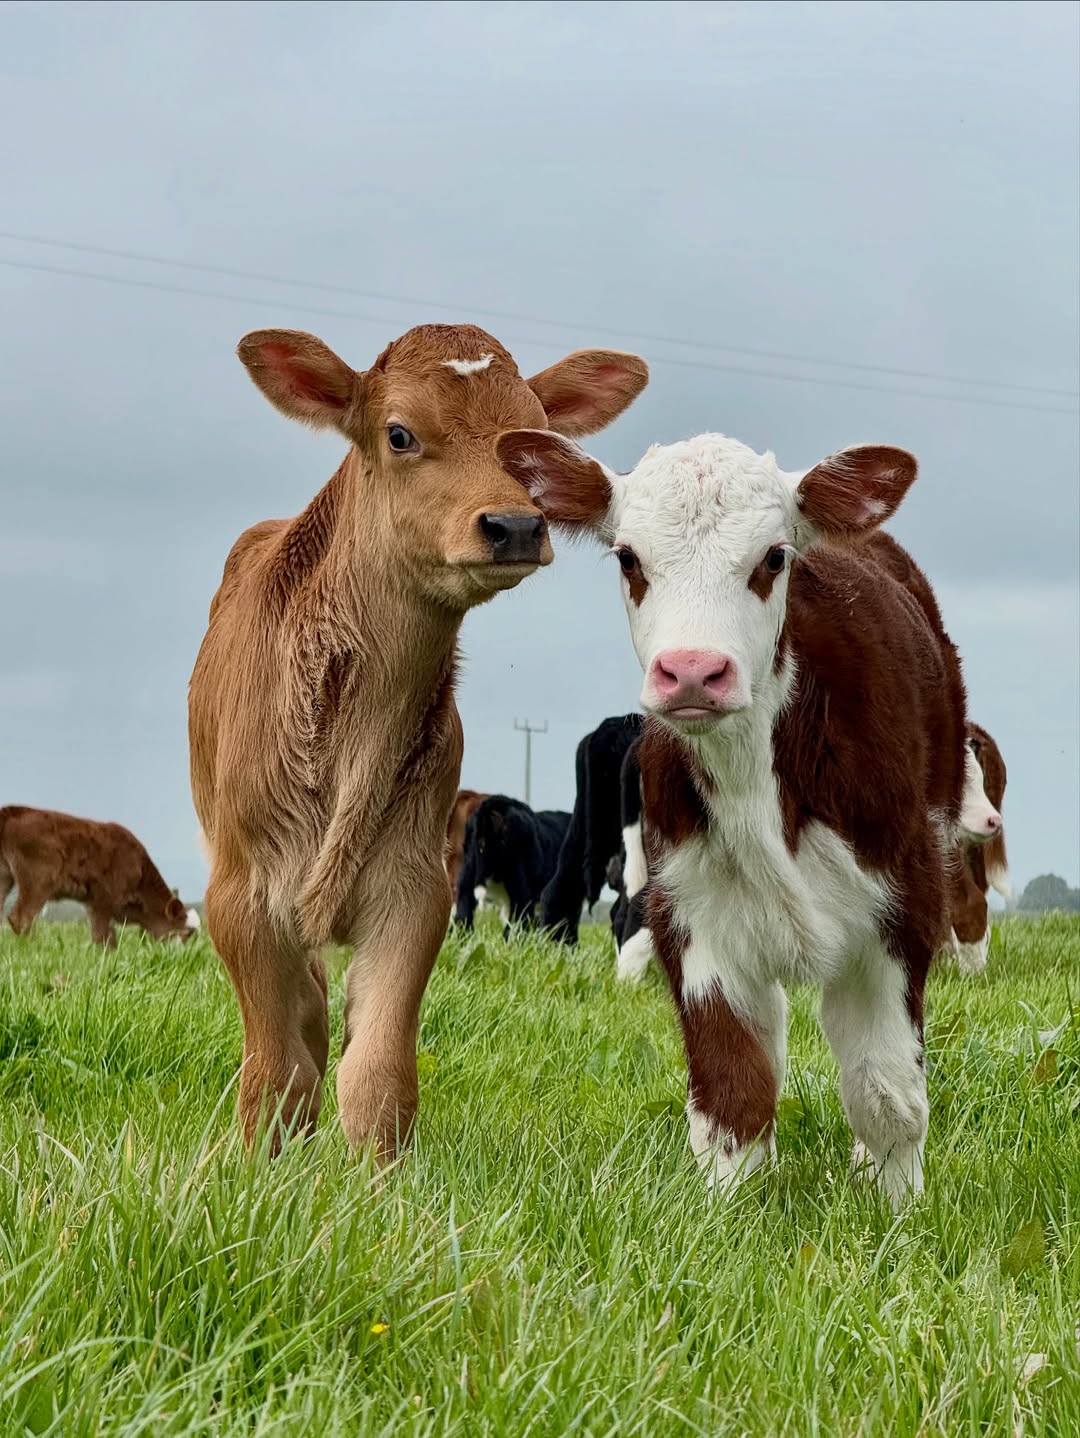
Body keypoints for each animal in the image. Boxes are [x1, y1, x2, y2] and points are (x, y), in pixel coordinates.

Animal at [0, 805, 197, 947]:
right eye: (187, 933)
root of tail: (11, 811)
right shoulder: (102, 901)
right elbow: (103, 936)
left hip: (6, 878)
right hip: (39, 881)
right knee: (21, 918)